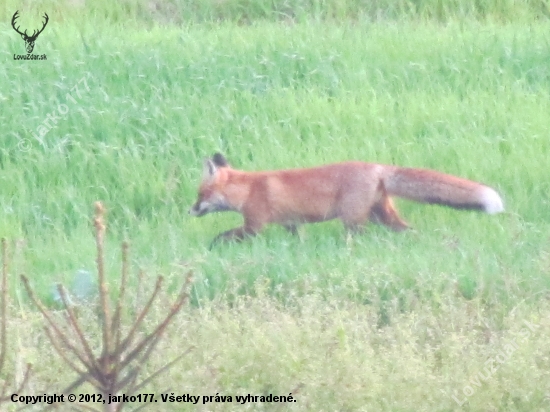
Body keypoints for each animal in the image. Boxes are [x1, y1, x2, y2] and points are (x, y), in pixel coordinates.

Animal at [190, 152, 504, 246]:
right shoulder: (292, 224)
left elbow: (226, 235)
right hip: (385, 217)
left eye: (200, 195)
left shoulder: (254, 225)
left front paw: (212, 245)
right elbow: (297, 240)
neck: (249, 188)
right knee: (409, 232)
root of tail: (377, 166)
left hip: (353, 220)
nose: (190, 210)